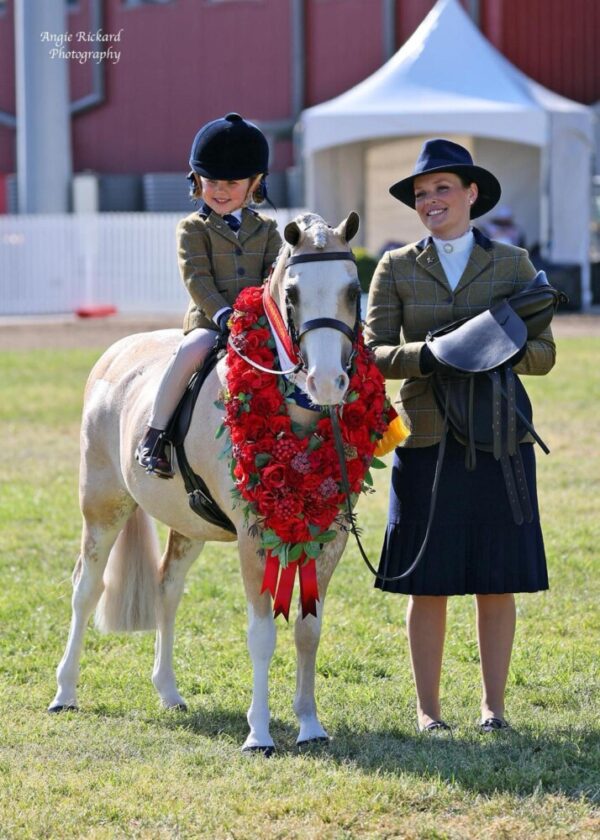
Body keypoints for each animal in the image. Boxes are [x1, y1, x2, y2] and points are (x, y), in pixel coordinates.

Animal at [50, 210, 360, 756]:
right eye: (293, 294)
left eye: (354, 288)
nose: (325, 383)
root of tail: (117, 351)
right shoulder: (253, 540)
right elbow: (262, 634)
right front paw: (259, 734)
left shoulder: (329, 537)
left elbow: (308, 629)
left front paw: (310, 725)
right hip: (102, 507)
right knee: (85, 589)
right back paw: (65, 692)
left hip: (188, 525)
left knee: (166, 589)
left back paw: (169, 692)